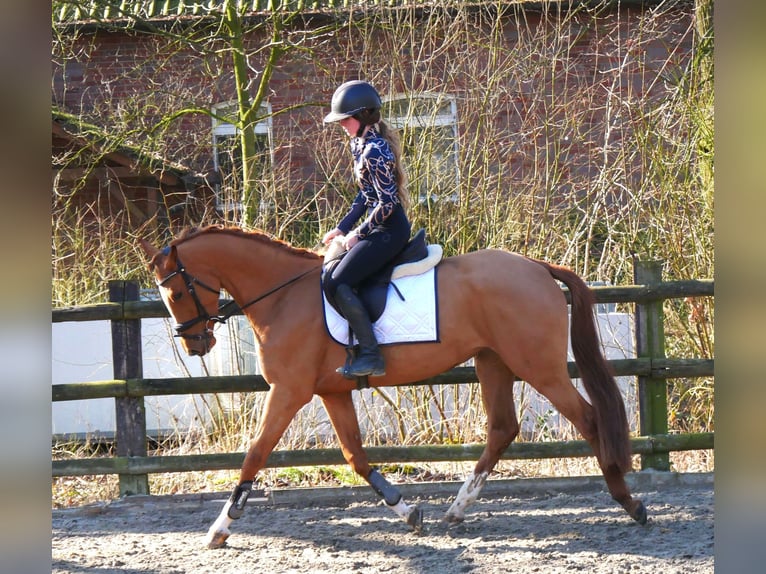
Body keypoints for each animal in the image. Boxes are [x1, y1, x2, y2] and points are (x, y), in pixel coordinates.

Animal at [140, 224, 648, 548]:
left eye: (177, 292)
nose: (196, 344)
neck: (282, 296)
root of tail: (537, 267)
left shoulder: (289, 391)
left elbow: (255, 454)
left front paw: (221, 528)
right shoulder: (332, 392)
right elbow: (356, 457)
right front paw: (408, 512)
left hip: (537, 365)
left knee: (588, 419)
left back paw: (629, 502)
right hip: (493, 362)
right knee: (503, 428)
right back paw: (457, 509)